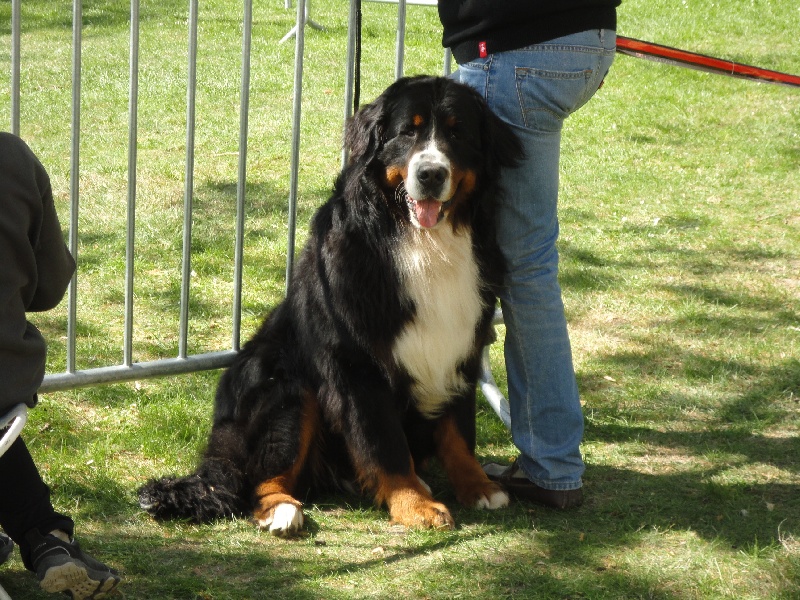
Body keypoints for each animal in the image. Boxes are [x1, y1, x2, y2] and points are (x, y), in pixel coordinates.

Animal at [138, 76, 524, 536]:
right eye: (407, 132)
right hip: (284, 382)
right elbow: (384, 442)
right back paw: (282, 509)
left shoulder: (462, 344)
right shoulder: (356, 362)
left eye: (457, 132)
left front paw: (478, 485)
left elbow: (458, 430)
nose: (430, 173)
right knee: (260, 478)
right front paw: (415, 504)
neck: (422, 242)